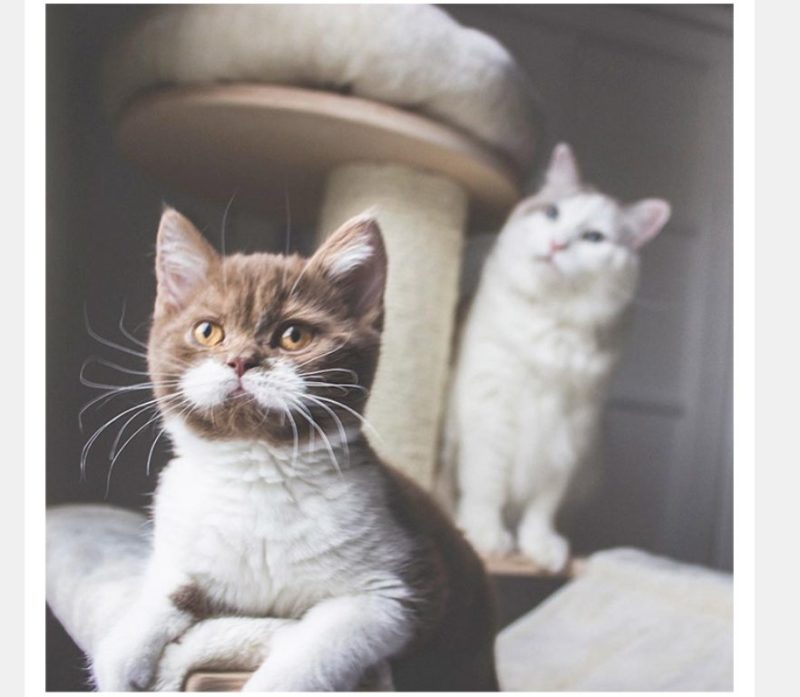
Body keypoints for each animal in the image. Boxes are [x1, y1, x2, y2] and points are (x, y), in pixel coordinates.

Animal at [90, 207, 496, 692]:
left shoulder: (404, 584)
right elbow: (170, 584)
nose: (242, 360)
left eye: (294, 336)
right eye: (208, 331)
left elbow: (322, 644)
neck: (257, 472)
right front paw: (123, 650)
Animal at [446, 143, 672, 572]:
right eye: (552, 214)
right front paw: (486, 535)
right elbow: (486, 487)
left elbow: (543, 505)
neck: (550, 327)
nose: (557, 245)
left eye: (593, 237)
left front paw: (539, 546)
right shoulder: (489, 411)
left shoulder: (571, 431)